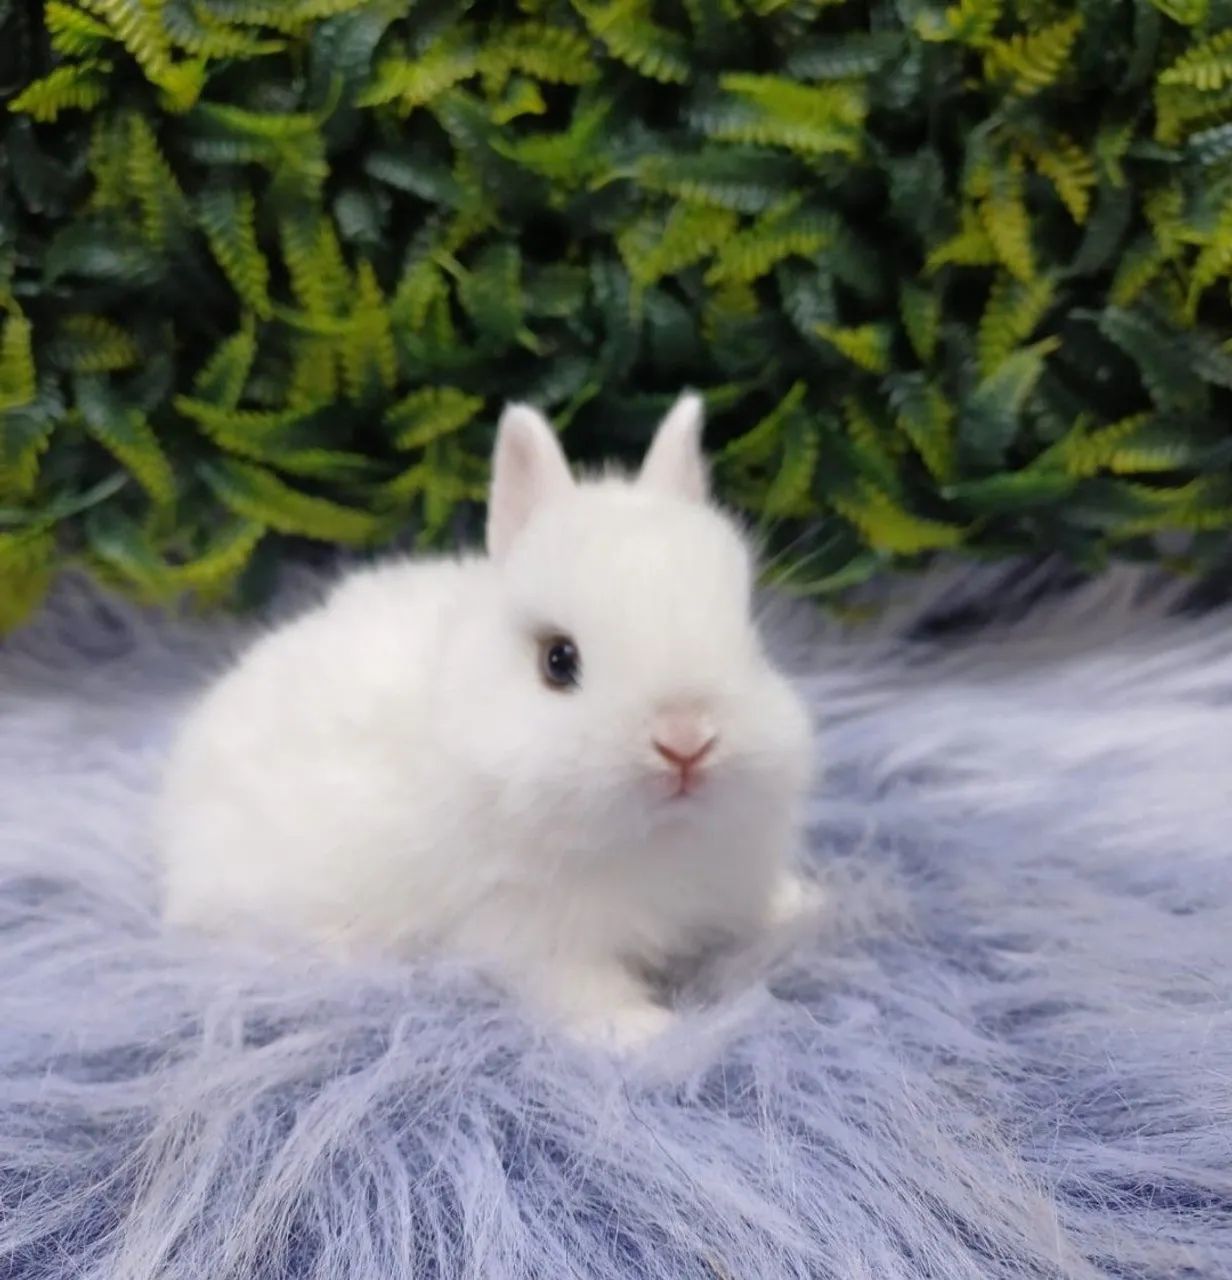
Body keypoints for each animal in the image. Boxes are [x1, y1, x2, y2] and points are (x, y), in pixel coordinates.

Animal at [157, 392, 819, 1051]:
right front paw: (641, 1032)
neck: (657, 839)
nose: (686, 741)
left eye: (750, 639)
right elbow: (577, 985)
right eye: (558, 661)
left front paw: (801, 905)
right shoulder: (529, 930)